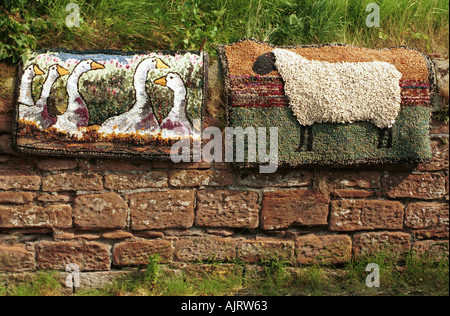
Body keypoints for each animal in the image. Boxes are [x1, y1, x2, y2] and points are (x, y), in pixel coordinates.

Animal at [251, 49, 402, 151]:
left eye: (265, 57)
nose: (254, 69)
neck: (296, 71)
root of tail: (395, 72)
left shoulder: (304, 111)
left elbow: (303, 132)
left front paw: (300, 148)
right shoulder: (307, 113)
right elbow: (308, 131)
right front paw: (308, 148)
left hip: (385, 110)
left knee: (388, 130)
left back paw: (386, 146)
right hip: (381, 114)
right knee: (383, 131)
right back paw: (381, 146)